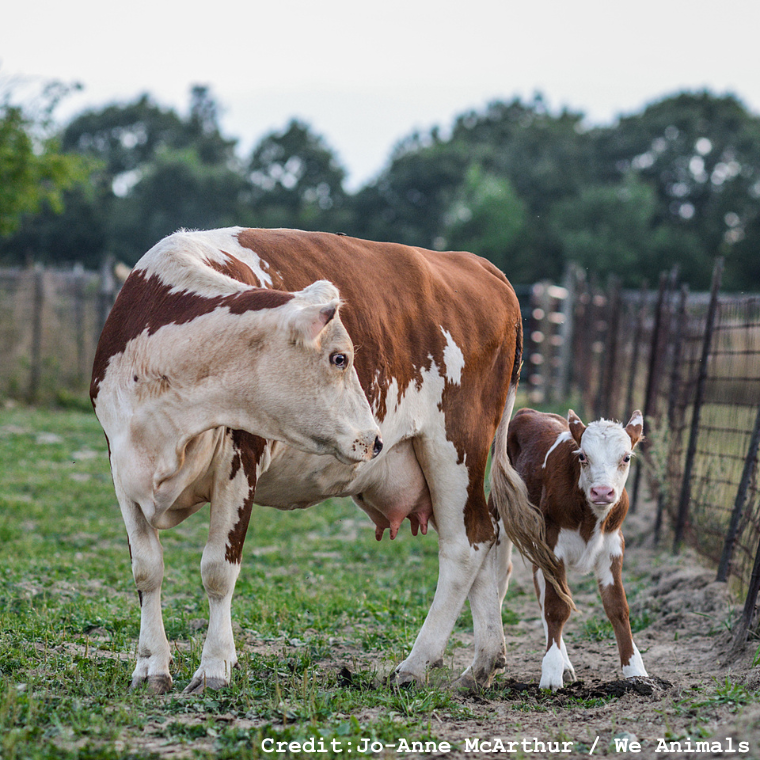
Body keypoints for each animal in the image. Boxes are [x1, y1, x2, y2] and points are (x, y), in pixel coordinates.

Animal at [90, 227, 565, 694]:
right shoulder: (121, 468)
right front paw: (151, 666)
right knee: (488, 539)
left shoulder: (239, 464)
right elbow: (147, 570)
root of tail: (476, 264)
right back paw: (482, 664)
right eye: (340, 358)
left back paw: (417, 663)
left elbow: (217, 571)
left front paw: (214, 668)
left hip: (455, 447)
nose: (375, 438)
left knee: (466, 545)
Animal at [506, 407, 648, 690]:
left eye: (626, 457)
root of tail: (530, 411)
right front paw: (551, 672)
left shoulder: (613, 547)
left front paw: (635, 670)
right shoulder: (554, 546)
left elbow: (618, 607)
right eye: (583, 456)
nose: (602, 492)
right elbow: (557, 608)